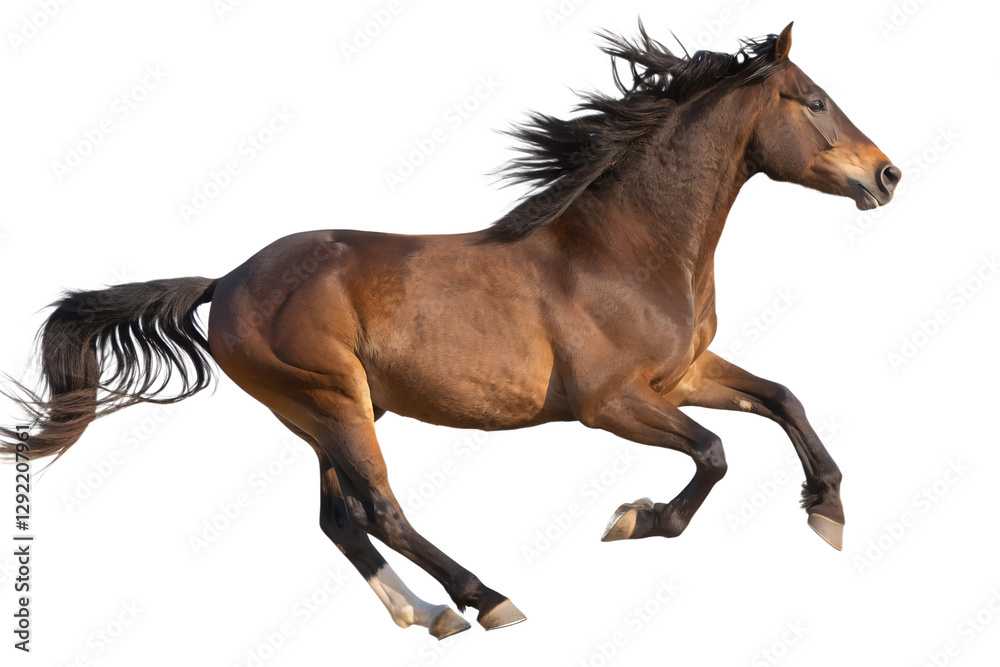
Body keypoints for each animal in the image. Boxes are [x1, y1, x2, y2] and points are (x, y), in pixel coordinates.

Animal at [1, 22, 898, 639]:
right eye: (815, 100)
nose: (887, 174)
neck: (623, 248)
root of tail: (226, 281)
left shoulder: (682, 374)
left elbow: (783, 398)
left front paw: (827, 510)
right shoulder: (611, 402)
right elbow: (713, 453)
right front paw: (635, 518)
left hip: (331, 411)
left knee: (339, 517)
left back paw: (428, 613)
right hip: (332, 400)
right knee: (380, 509)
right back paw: (487, 598)